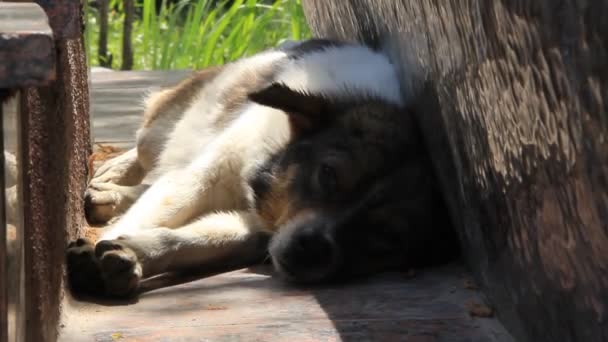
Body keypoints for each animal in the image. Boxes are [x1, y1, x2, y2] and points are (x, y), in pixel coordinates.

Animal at [66, 38, 456, 298]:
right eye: (328, 175)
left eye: (388, 236)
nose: (311, 249)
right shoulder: (204, 178)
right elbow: (164, 206)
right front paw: (105, 246)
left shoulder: (257, 229)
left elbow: (187, 238)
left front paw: (134, 253)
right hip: (161, 129)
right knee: (149, 158)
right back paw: (115, 175)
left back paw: (111, 196)